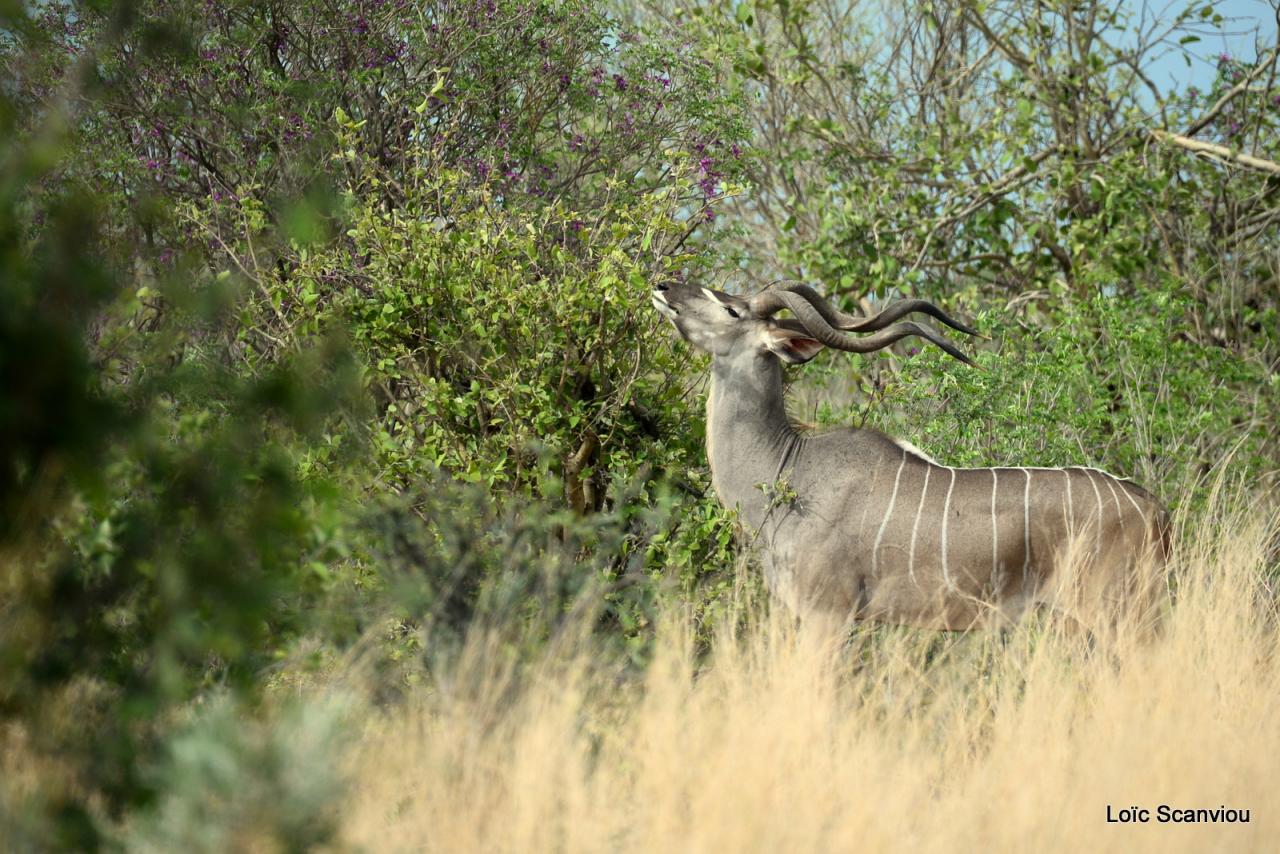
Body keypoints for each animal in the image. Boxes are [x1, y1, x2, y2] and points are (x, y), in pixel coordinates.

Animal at [660, 281, 1172, 635]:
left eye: (731, 309)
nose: (664, 286)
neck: (788, 468)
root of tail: (1155, 509)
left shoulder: (827, 613)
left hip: (1120, 613)